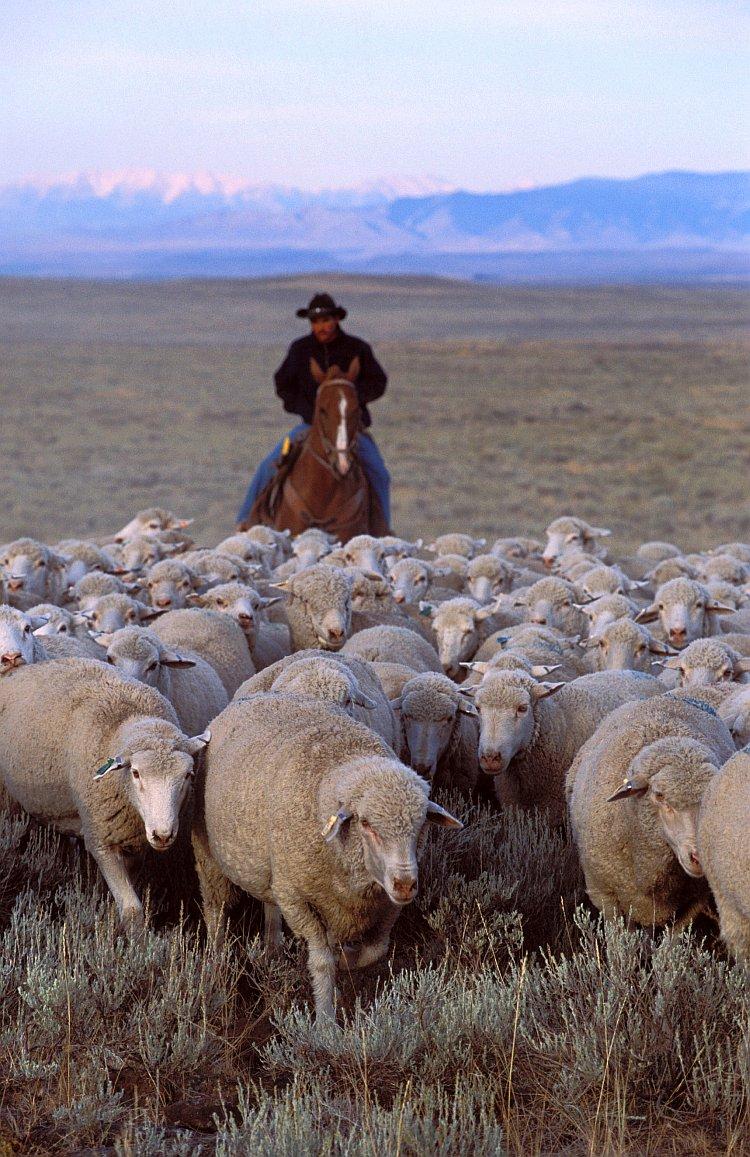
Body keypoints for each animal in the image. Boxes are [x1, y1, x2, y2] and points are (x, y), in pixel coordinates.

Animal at [0, 657, 209, 923]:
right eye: (136, 773)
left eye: (189, 775)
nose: (163, 835)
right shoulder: (101, 839)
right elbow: (132, 911)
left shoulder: (134, 841)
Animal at [191, 693, 461, 1020]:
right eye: (366, 823)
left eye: (422, 824)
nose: (405, 883)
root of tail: (254, 696)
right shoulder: (297, 899)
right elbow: (321, 962)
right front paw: (325, 1020)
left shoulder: (382, 905)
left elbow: (376, 949)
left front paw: (346, 962)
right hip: (211, 860)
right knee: (216, 914)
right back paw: (216, 974)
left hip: (271, 868)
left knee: (269, 904)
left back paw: (272, 952)